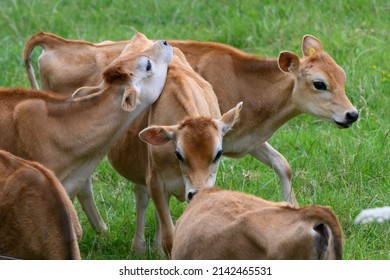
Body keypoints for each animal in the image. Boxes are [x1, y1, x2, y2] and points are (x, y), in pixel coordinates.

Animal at [23, 33, 360, 208]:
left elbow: (283, 165)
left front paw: (292, 207)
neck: (246, 83)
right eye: (319, 83)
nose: (352, 114)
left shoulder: (245, 139)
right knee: (82, 183)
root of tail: (59, 42)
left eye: (343, 77)